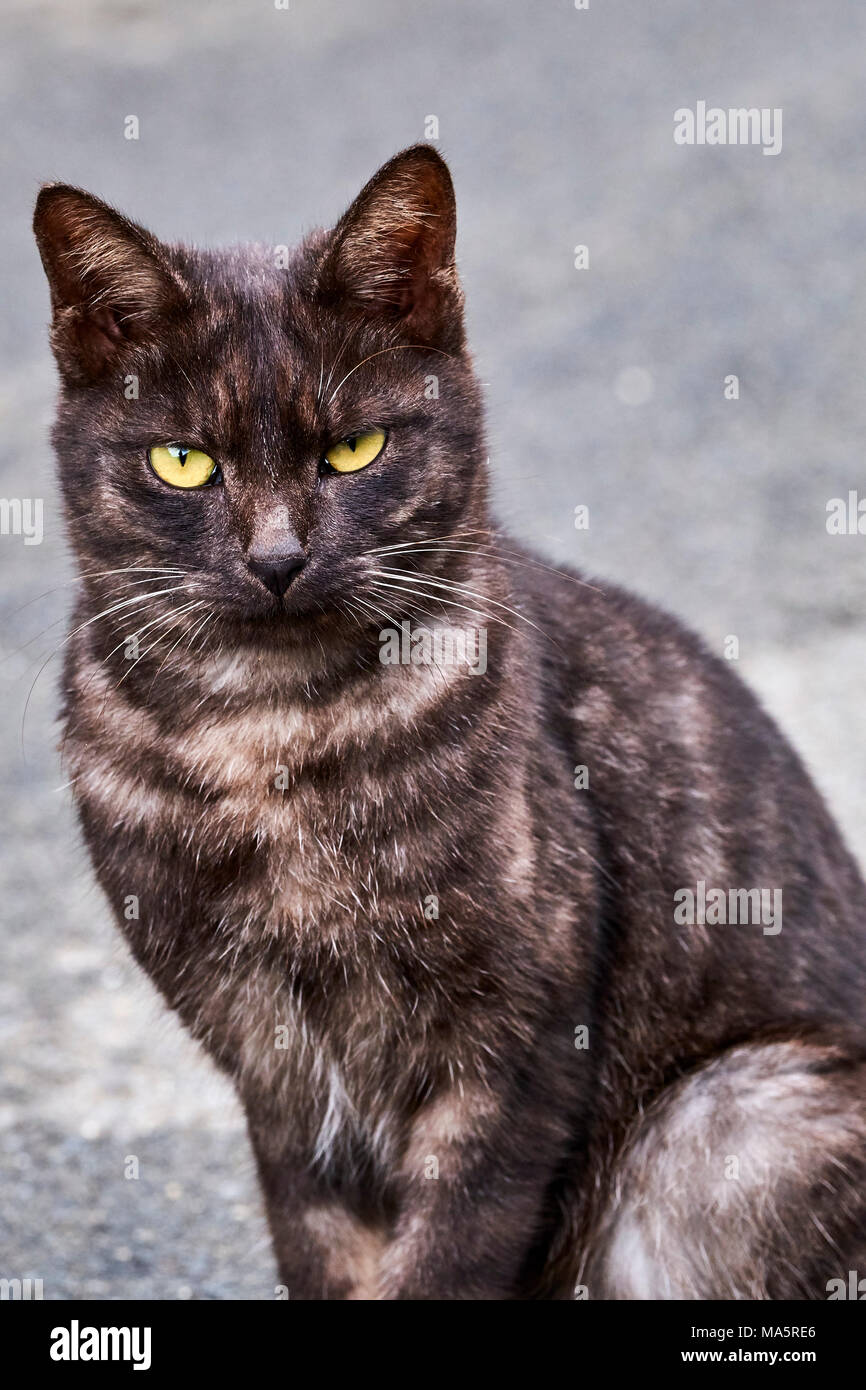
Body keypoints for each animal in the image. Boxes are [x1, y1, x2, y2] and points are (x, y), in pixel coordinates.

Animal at [35, 146, 866, 1295]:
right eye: (184, 462)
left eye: (355, 448)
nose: (278, 557)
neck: (266, 739)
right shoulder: (275, 1079)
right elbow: (323, 1258)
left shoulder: (512, 1047)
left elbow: (447, 1255)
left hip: (725, 1116)